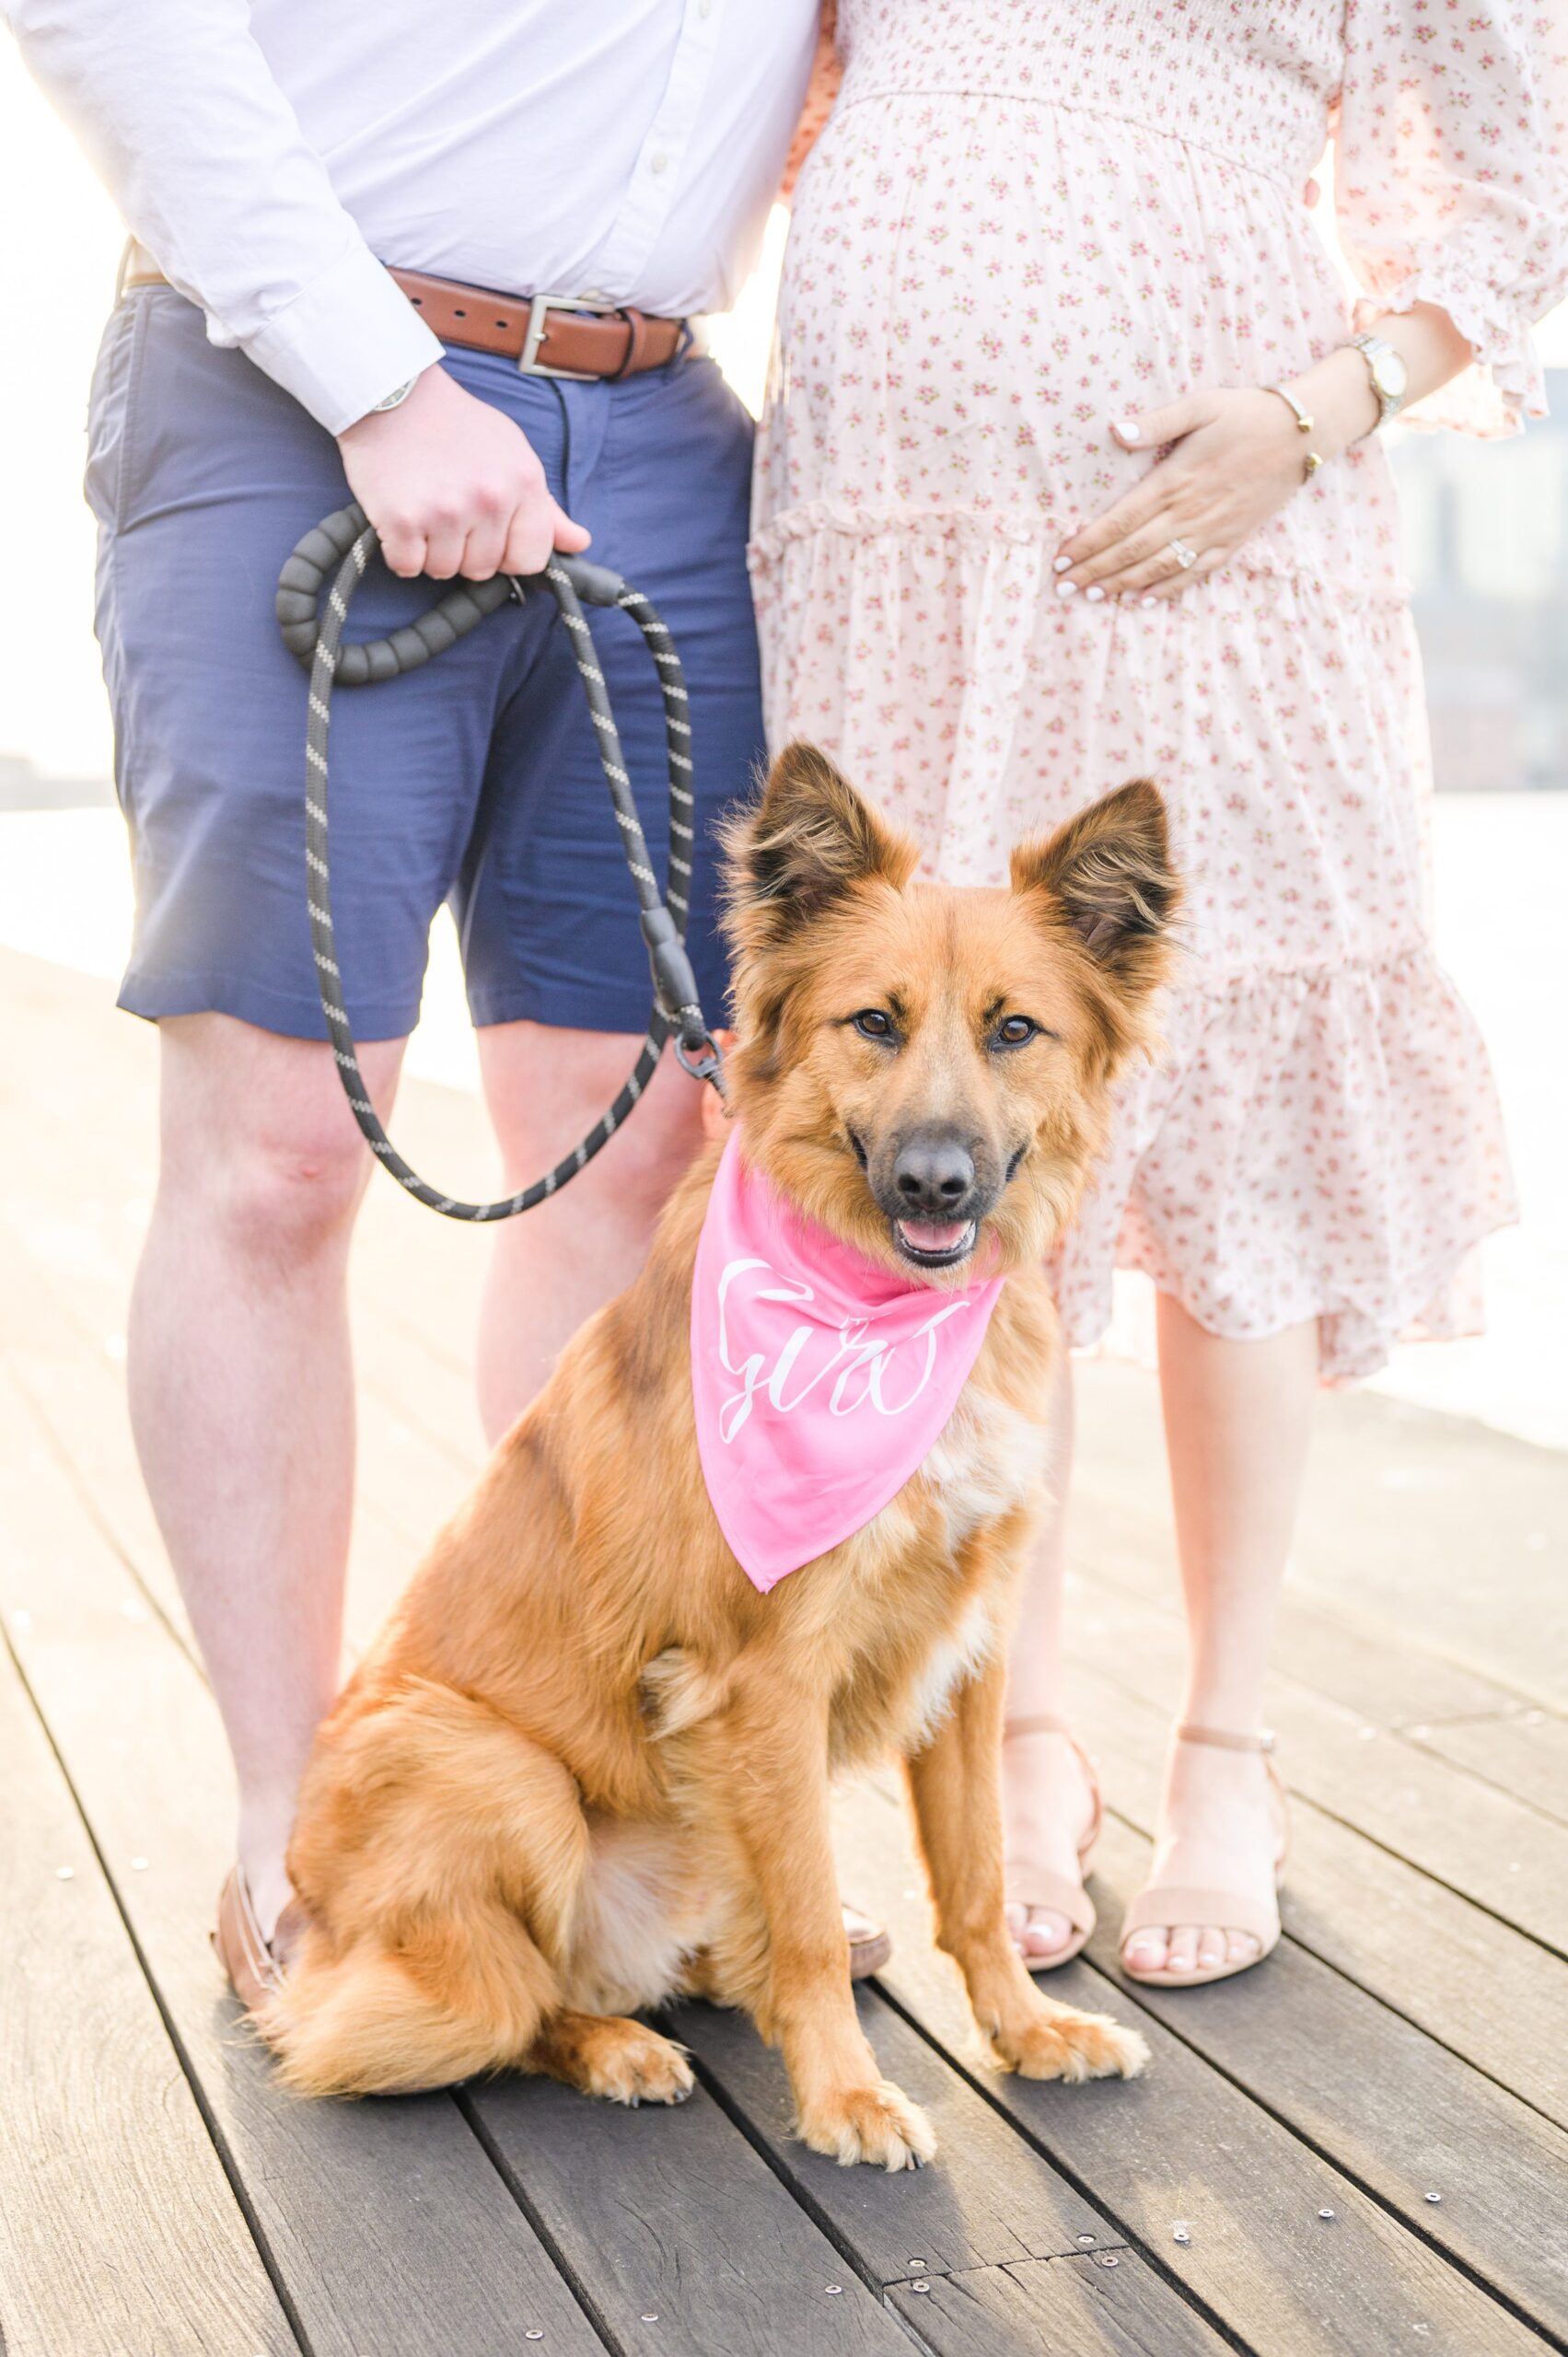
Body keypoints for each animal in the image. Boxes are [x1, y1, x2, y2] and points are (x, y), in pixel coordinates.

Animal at [266, 744, 1174, 2158]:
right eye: (874, 1023)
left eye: (1013, 1029)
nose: (933, 1184)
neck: (877, 1318)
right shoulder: (763, 1677)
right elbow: (797, 1915)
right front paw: (846, 2095)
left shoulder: (968, 1646)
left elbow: (972, 1879)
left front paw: (1025, 2031)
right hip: (495, 1772)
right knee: (512, 1995)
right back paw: (612, 2045)